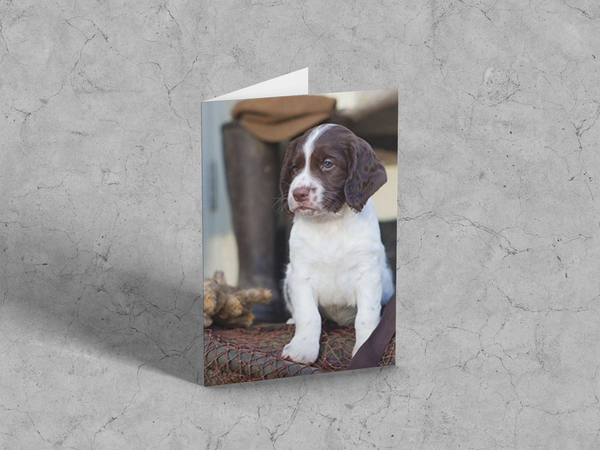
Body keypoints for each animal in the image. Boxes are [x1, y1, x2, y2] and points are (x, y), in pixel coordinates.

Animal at [280, 124, 396, 366]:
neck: (329, 224)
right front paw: (302, 349)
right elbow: (308, 315)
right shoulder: (300, 275)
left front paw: (363, 349)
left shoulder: (368, 273)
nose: (298, 193)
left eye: (328, 164)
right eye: (294, 168)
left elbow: (366, 316)